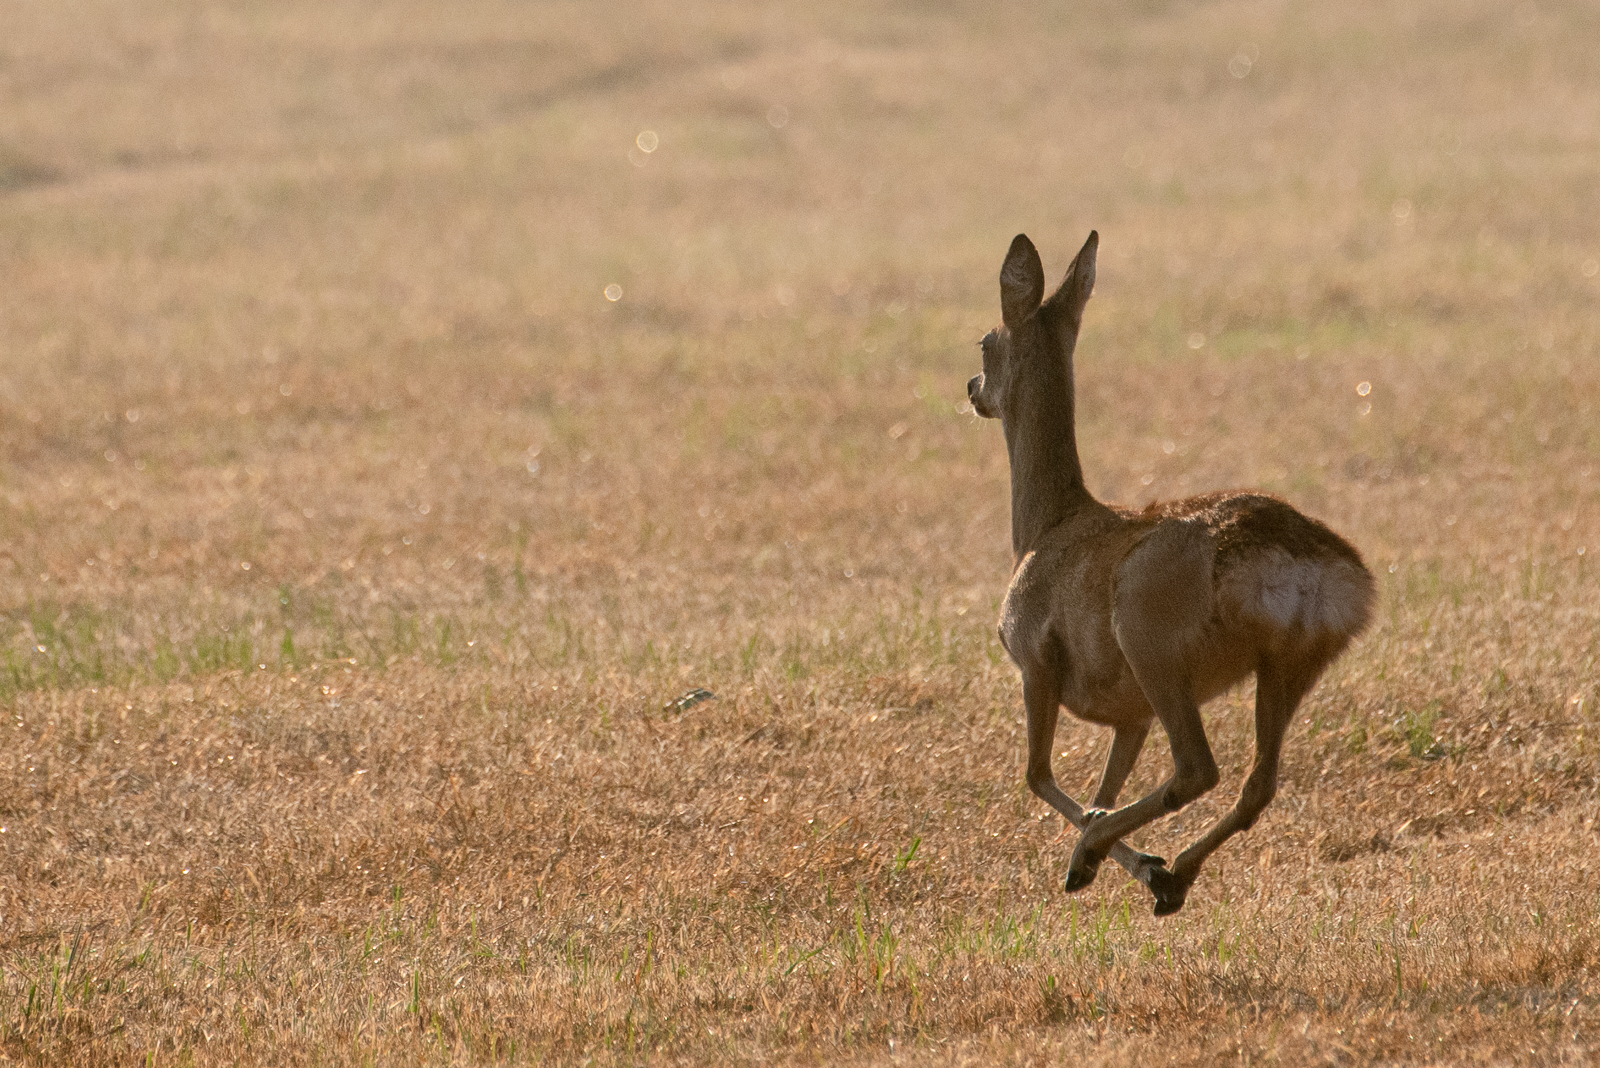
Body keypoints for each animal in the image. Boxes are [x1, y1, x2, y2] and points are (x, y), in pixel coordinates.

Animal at [960, 230, 1376, 914]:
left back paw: (1127, 862)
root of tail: (1304, 568)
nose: (972, 388)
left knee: (1197, 767)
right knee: (1258, 782)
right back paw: (1172, 872)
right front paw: (1109, 860)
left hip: (1149, 636)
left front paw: (1093, 862)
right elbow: (1101, 783)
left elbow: (1038, 775)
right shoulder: (1128, 712)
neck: (1042, 529)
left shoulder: (1035, 657)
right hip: (1296, 657)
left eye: (986, 343)